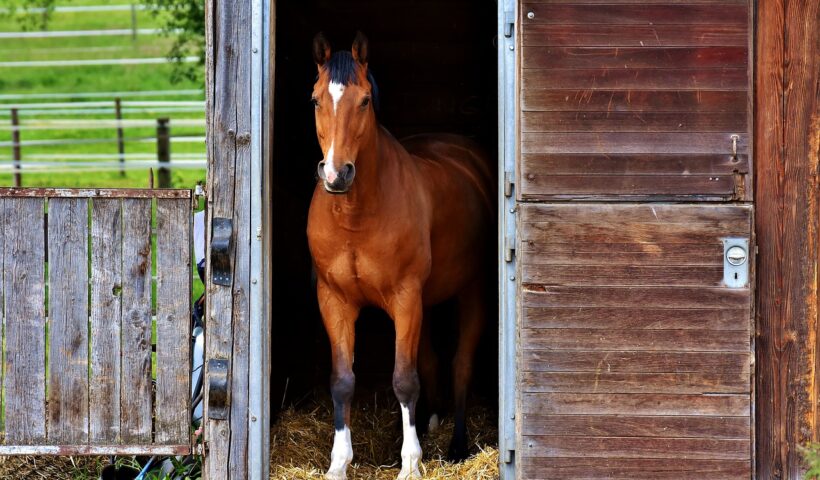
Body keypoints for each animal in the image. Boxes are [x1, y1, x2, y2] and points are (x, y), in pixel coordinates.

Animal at [304, 31, 490, 478]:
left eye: (365, 100)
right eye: (316, 99)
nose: (336, 174)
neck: (356, 216)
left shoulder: (406, 299)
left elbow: (404, 379)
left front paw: (410, 464)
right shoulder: (334, 300)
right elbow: (342, 380)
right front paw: (339, 463)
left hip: (470, 292)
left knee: (460, 365)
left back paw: (456, 445)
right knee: (432, 361)